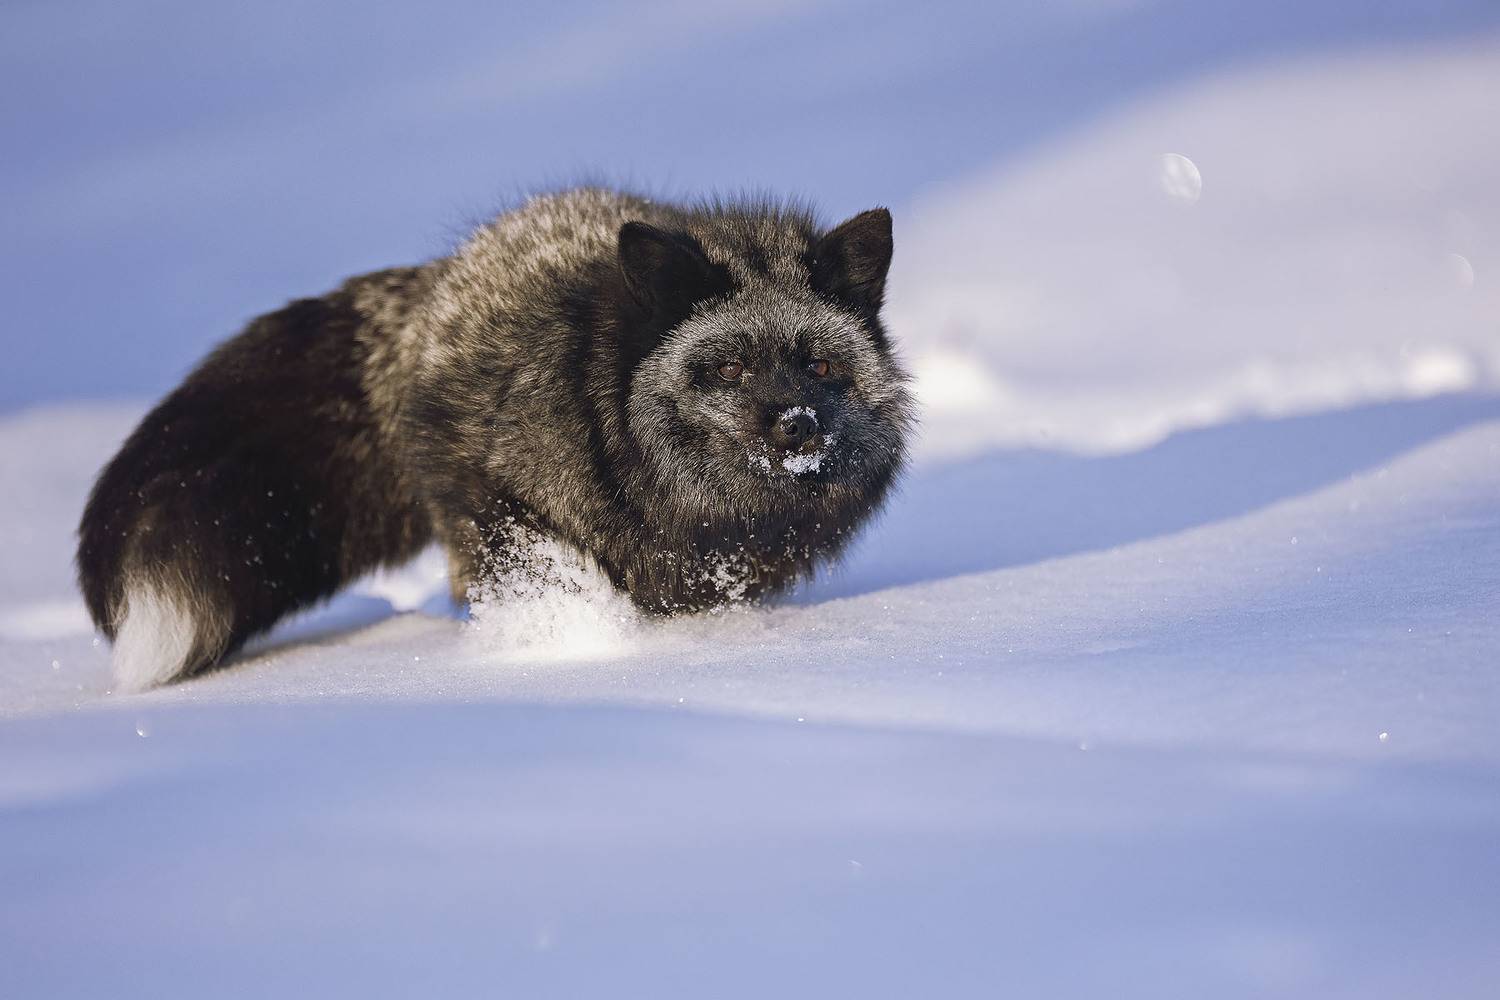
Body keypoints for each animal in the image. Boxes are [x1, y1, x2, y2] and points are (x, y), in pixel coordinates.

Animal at [77, 187, 915, 690]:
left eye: (820, 365)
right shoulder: (507, 501)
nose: (796, 424)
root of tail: (431, 286)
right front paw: (574, 647)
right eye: (732, 366)